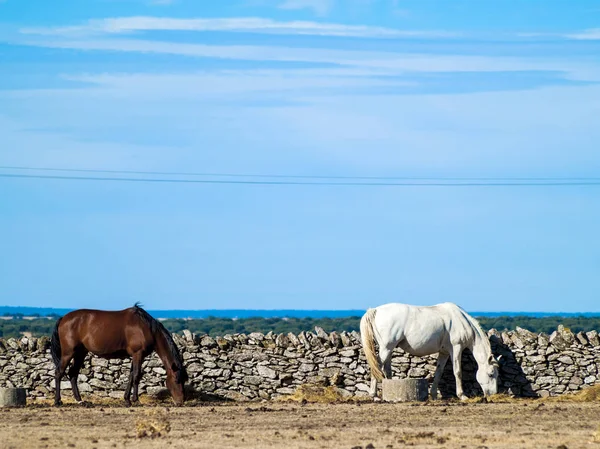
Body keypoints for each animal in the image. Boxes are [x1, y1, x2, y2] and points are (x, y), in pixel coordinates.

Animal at [51, 304, 188, 406]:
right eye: (176, 380)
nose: (180, 402)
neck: (146, 328)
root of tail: (63, 318)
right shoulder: (138, 354)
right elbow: (136, 375)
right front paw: (136, 400)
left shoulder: (135, 356)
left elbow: (131, 375)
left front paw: (127, 400)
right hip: (68, 353)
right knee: (59, 372)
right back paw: (58, 401)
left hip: (80, 353)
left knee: (72, 373)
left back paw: (80, 400)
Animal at [360, 300, 502, 400]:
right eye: (491, 374)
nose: (493, 394)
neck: (462, 321)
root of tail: (376, 310)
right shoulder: (456, 349)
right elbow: (457, 372)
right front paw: (462, 395)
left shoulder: (444, 352)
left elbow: (439, 372)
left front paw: (433, 395)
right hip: (386, 348)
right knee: (377, 366)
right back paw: (374, 395)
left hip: (388, 349)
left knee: (386, 369)